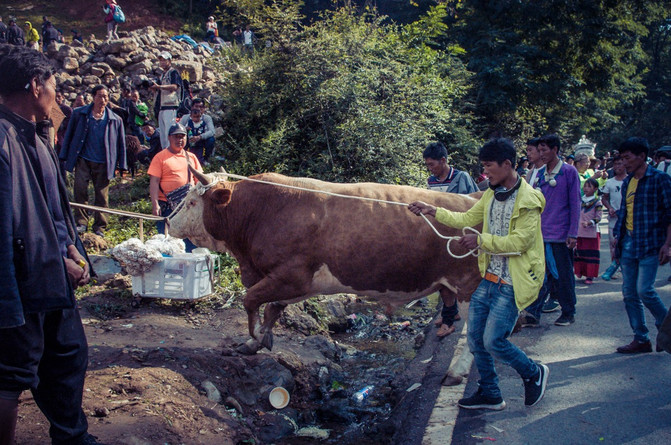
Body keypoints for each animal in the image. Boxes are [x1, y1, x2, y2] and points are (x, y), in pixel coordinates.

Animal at [168, 171, 484, 354]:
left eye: (192, 203)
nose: (169, 221)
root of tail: (476, 196)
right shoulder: (291, 284)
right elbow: (271, 309)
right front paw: (255, 342)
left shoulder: (292, 276)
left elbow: (250, 300)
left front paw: (254, 335)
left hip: (470, 282)